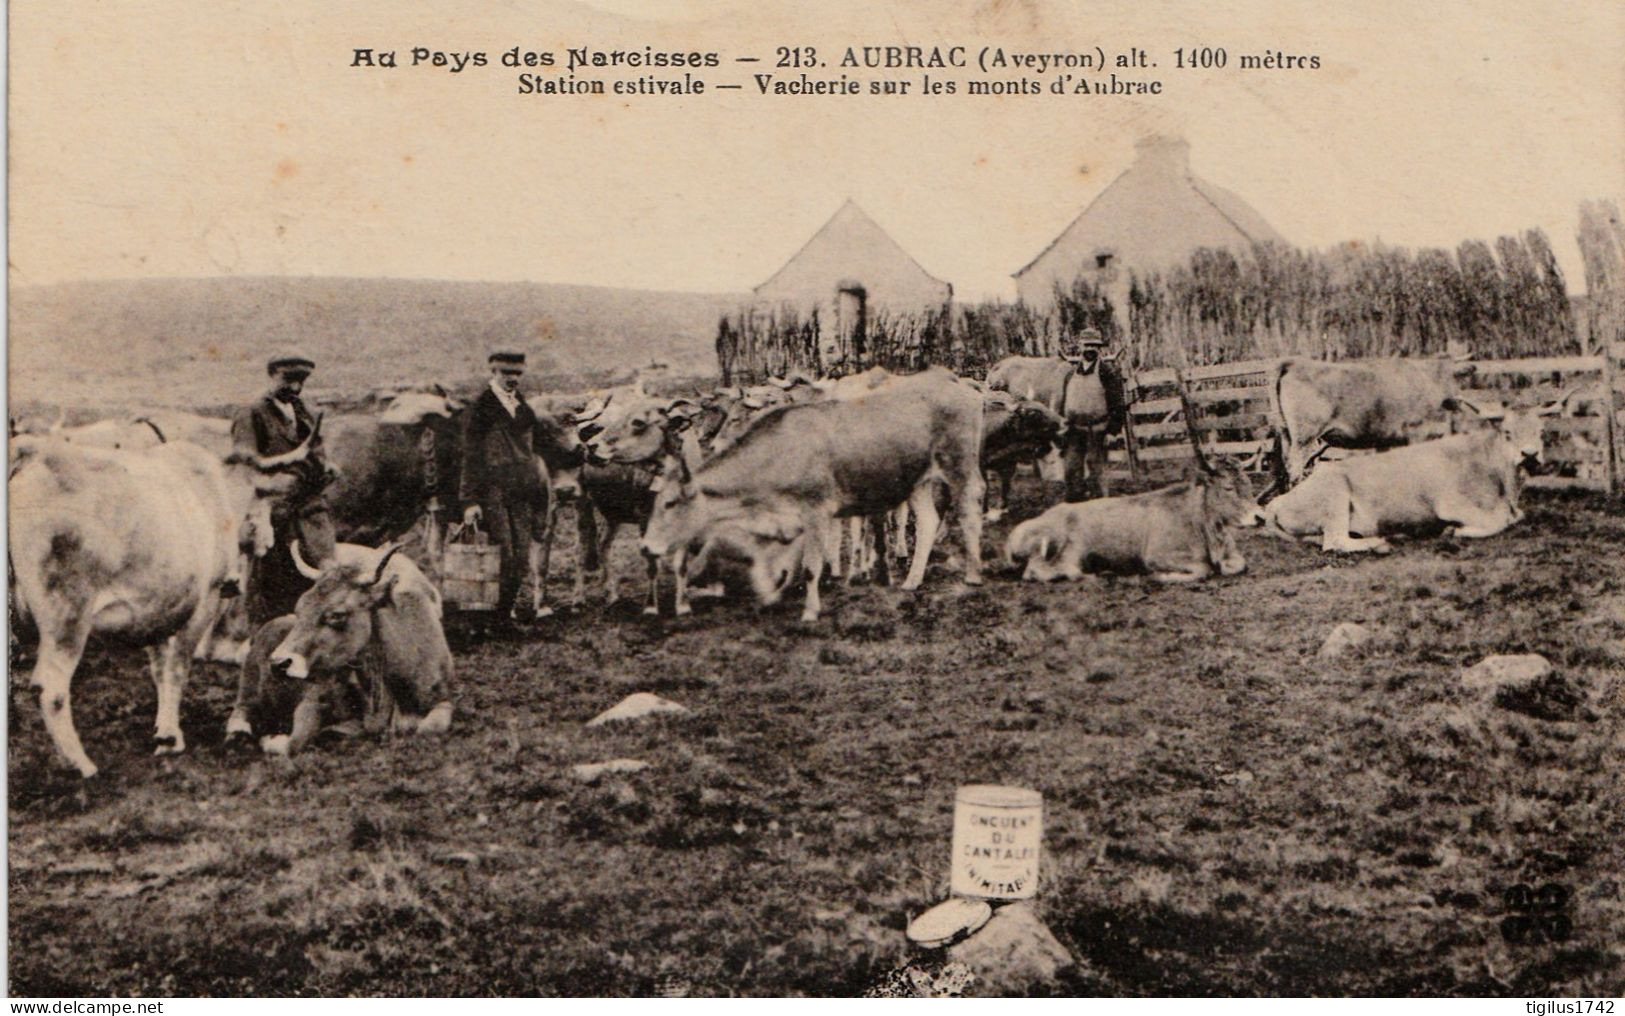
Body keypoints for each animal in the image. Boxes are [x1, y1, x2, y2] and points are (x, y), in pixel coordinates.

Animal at [225, 539, 455, 754]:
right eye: (300, 607)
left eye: (337, 615)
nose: (278, 662)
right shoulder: (314, 696)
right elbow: (296, 742)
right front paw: (270, 740)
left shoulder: (442, 700)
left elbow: (428, 728)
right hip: (249, 684)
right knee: (240, 712)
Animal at [1261, 396, 1566, 555]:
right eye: (1507, 433)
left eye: (1541, 431)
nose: (1529, 454)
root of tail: (1278, 502)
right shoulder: (1451, 505)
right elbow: (1500, 521)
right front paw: (1453, 530)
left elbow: (1516, 517)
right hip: (1334, 494)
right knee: (1334, 542)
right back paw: (1379, 542)